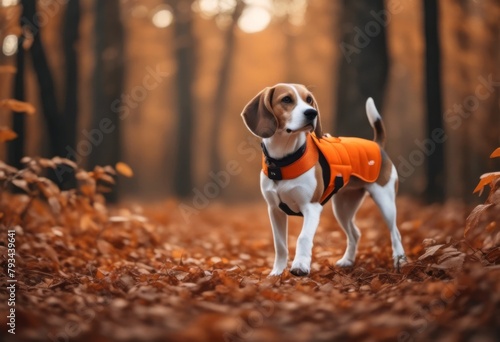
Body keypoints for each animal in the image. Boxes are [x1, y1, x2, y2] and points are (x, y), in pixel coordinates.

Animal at [241, 84, 406, 276]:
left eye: (309, 100)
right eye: (286, 99)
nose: (312, 113)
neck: (284, 160)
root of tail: (376, 144)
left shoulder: (311, 208)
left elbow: (303, 237)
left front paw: (300, 266)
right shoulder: (275, 210)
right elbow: (280, 245)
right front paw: (277, 273)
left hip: (385, 201)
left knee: (395, 233)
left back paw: (400, 261)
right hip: (342, 208)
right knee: (355, 233)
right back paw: (347, 261)